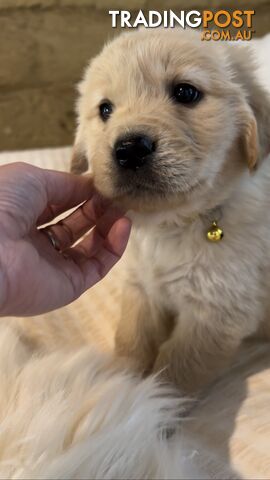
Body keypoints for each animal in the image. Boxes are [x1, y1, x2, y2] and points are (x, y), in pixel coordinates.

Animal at [71, 29, 270, 394]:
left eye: (186, 92)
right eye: (105, 109)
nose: (130, 149)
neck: (172, 224)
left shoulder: (215, 313)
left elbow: (176, 371)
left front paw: (151, 404)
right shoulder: (141, 287)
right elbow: (131, 338)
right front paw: (123, 384)